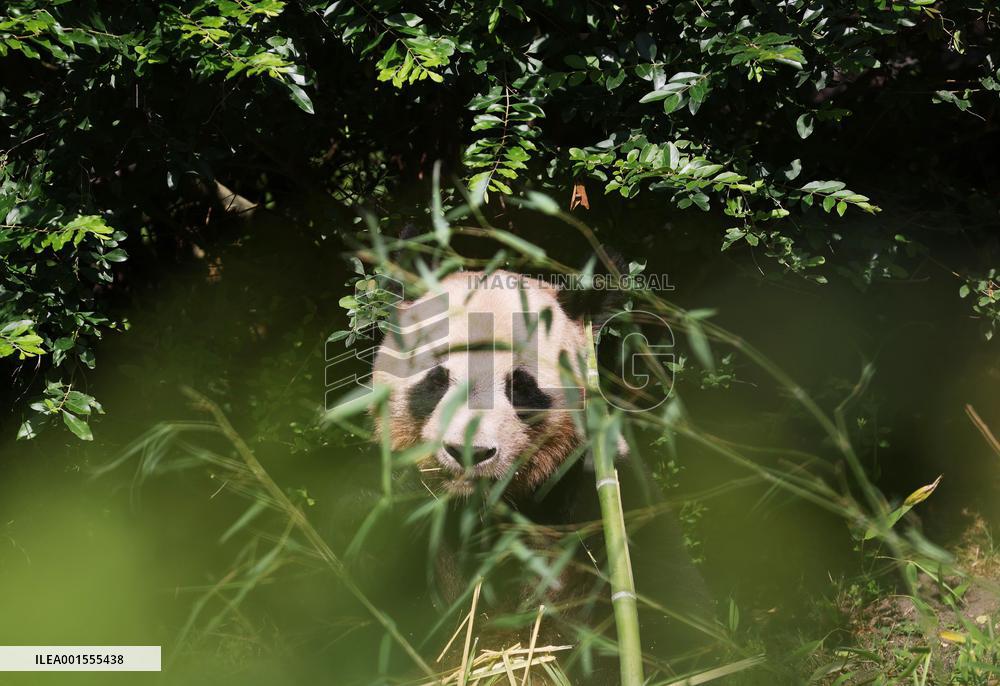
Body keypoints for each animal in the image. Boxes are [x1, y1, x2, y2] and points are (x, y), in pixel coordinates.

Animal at [368, 269, 713, 677]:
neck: (485, 510)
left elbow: (672, 612)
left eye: (520, 386)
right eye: (438, 379)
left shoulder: (599, 497)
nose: (471, 452)